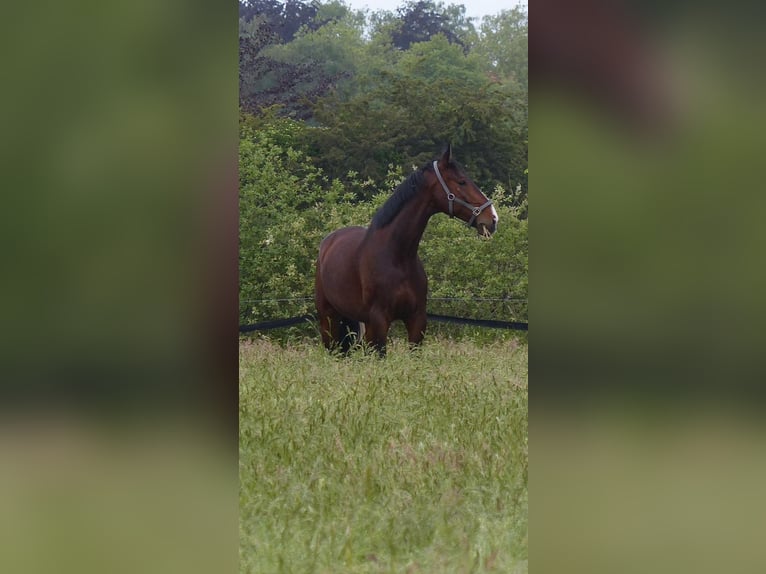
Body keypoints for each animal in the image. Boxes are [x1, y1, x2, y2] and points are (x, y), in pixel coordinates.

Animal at [316, 145, 500, 356]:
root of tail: (328, 242)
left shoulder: (416, 320)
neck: (397, 256)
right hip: (328, 319)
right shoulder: (379, 321)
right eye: (462, 181)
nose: (492, 219)